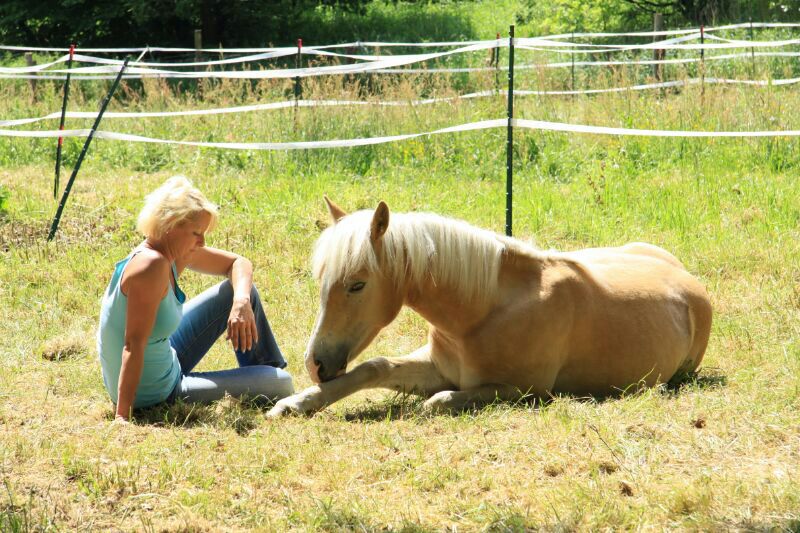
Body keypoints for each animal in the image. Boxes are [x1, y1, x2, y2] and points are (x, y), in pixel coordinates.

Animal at [268, 197, 712, 418]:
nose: (316, 364)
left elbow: (438, 401)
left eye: (357, 284)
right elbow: (374, 367)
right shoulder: (437, 367)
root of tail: (687, 279)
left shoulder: (526, 390)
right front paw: (295, 403)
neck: (482, 314)